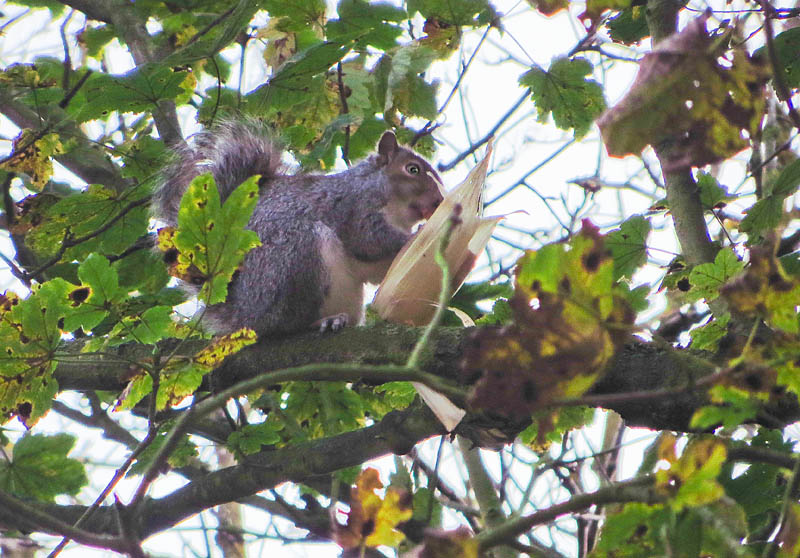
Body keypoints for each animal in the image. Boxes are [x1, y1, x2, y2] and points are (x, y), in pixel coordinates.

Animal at [153, 118, 444, 336]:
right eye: (413, 169)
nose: (440, 201)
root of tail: (242, 316)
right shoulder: (355, 206)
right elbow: (369, 240)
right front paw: (415, 235)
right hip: (297, 259)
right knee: (284, 325)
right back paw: (318, 322)